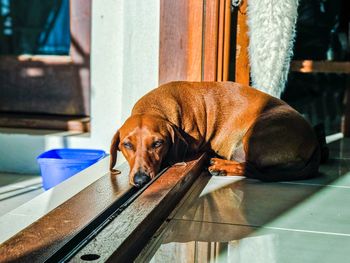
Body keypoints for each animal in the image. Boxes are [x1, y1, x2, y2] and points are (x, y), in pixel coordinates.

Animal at [110, 81, 322, 187]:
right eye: (127, 145)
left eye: (157, 143)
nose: (141, 180)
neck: (156, 105)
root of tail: (314, 141)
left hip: (255, 134)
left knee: (251, 167)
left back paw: (220, 166)